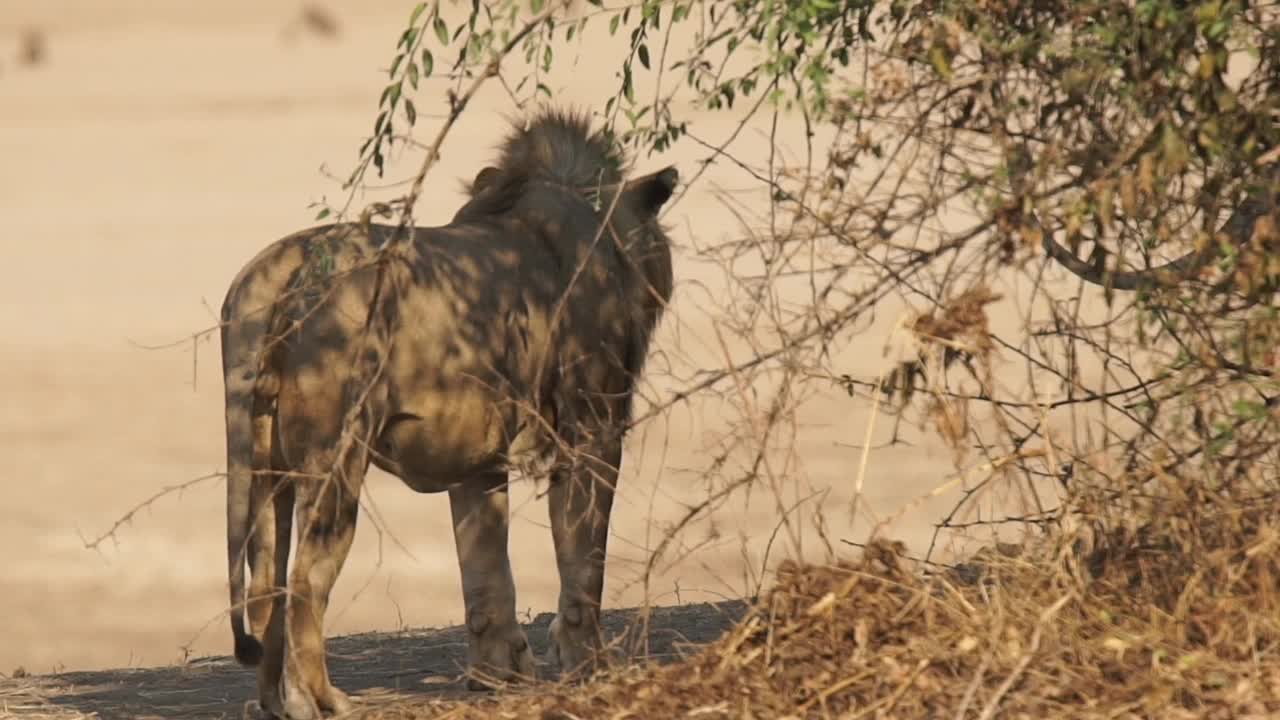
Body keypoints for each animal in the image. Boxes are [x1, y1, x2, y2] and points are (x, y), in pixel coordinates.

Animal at [220, 107, 680, 717]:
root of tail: (285, 269)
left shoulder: (476, 455)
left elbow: (485, 572)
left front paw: (495, 679)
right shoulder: (593, 430)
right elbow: (584, 557)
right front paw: (589, 664)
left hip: (264, 464)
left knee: (265, 584)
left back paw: (273, 700)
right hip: (335, 457)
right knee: (304, 582)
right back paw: (321, 699)